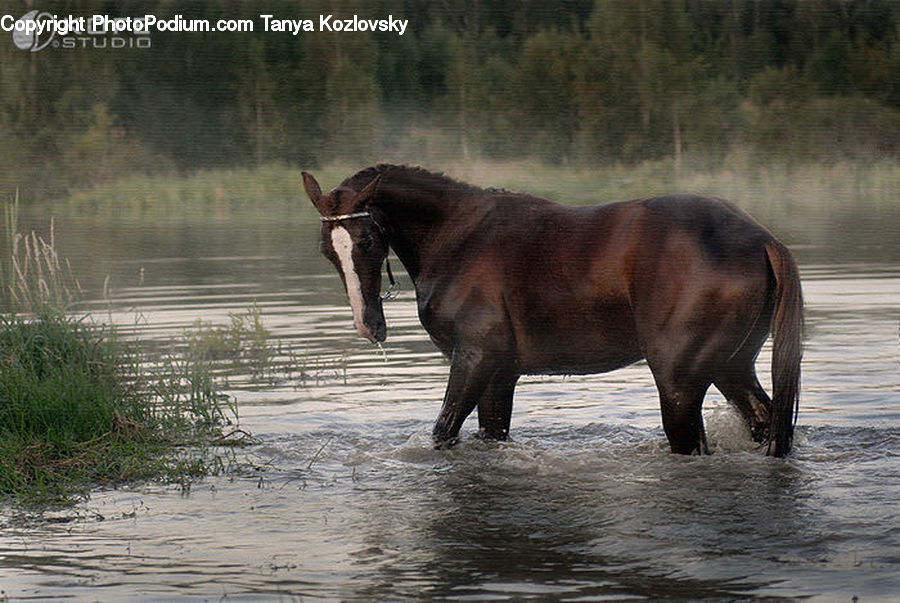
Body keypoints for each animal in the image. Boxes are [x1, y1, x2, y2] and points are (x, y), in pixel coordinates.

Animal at [302, 164, 803, 456]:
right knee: (767, 423)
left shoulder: (473, 361)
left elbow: (443, 432)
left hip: (680, 384)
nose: (369, 326)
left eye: (367, 241)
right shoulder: (498, 375)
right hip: (729, 366)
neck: (458, 237)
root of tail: (760, 238)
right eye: (328, 250)